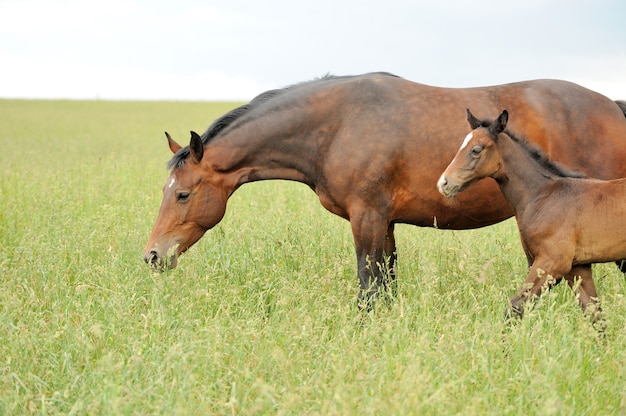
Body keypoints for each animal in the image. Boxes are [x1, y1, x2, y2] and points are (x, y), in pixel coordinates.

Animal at [141, 71, 624, 308]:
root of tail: (612, 106)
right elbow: (386, 284)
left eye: (182, 194)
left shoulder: (367, 217)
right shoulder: (385, 222)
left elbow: (368, 287)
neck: (336, 124)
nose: (152, 256)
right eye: (165, 191)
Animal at [438, 108, 626, 328]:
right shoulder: (577, 268)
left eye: (476, 150)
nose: (444, 183)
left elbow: (515, 308)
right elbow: (595, 315)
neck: (543, 195)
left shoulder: (552, 262)